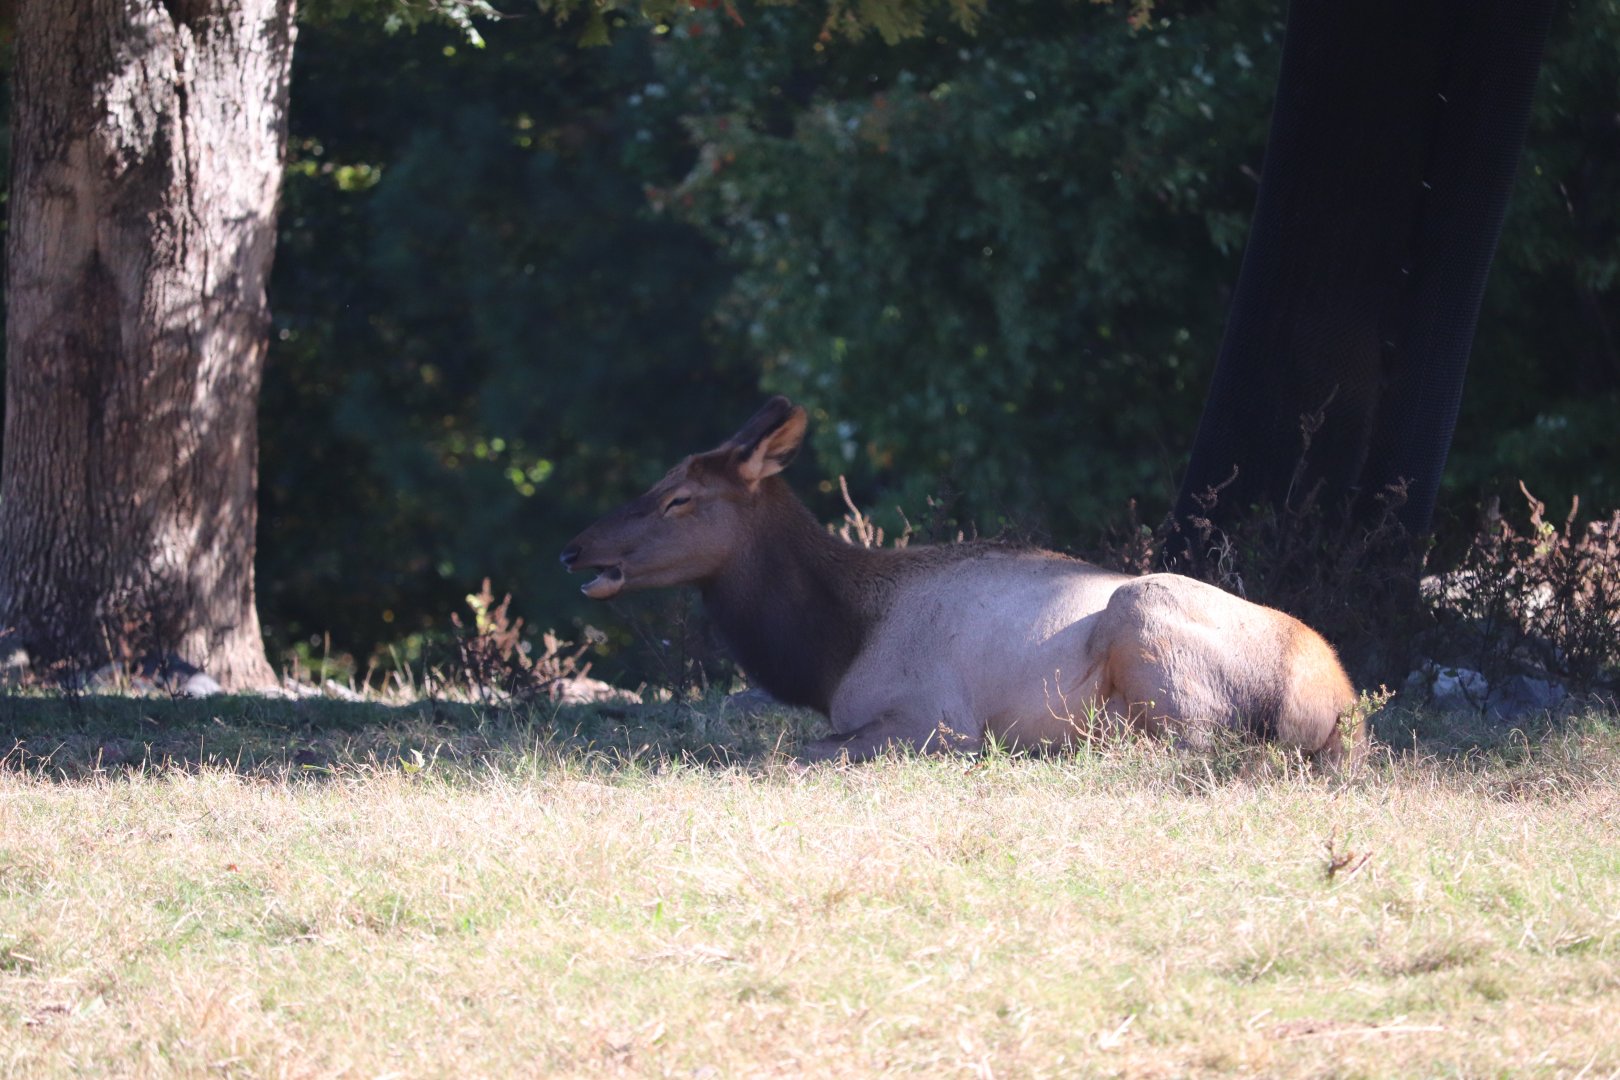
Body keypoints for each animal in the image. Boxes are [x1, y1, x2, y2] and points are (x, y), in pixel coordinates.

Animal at [560, 398, 1365, 767]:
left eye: (678, 498)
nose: (574, 548)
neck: (828, 651)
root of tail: (1333, 700)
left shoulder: (931, 716)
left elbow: (796, 750)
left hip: (1151, 629)